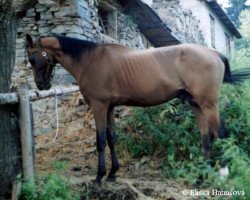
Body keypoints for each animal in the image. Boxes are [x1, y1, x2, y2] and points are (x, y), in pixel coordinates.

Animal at [25, 34, 250, 183]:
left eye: (32, 58)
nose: (41, 85)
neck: (90, 60)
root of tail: (214, 53)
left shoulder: (99, 106)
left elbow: (100, 140)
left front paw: (99, 176)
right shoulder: (109, 108)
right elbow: (112, 138)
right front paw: (113, 173)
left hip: (208, 104)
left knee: (221, 134)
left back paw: (222, 174)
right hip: (196, 104)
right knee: (206, 137)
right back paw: (201, 176)